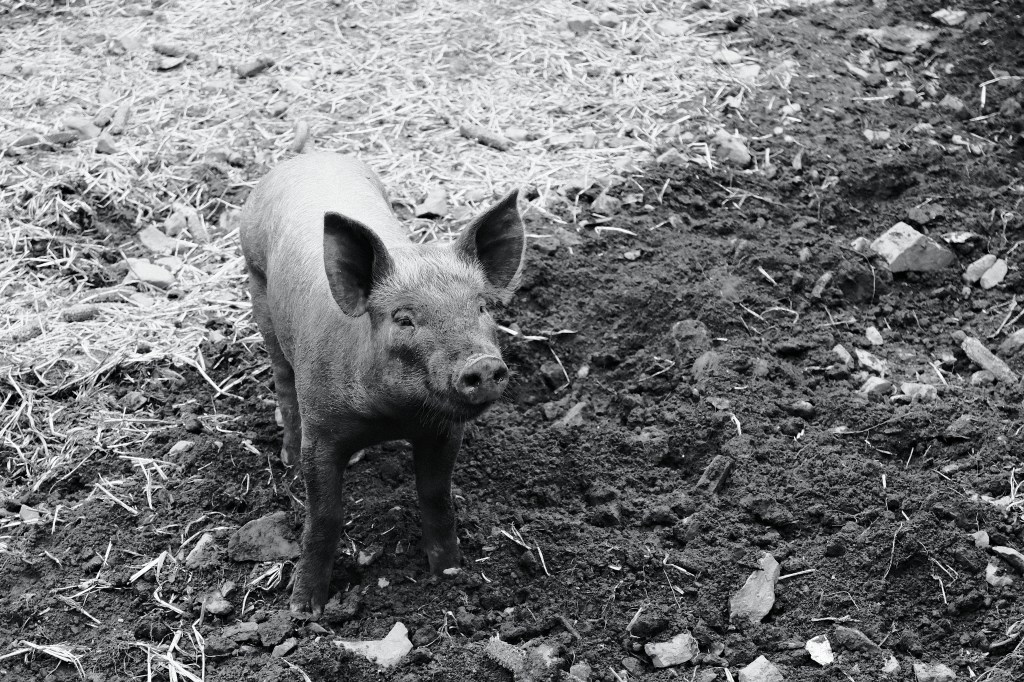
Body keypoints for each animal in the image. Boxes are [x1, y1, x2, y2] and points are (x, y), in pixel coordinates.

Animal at [239, 152, 525, 616]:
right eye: (403, 318)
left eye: (482, 306)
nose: (482, 364)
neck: (390, 419)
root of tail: (308, 156)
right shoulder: (321, 432)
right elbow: (325, 515)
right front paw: (304, 610)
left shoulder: (444, 431)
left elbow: (436, 496)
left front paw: (448, 572)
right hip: (257, 286)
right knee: (283, 379)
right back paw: (286, 460)